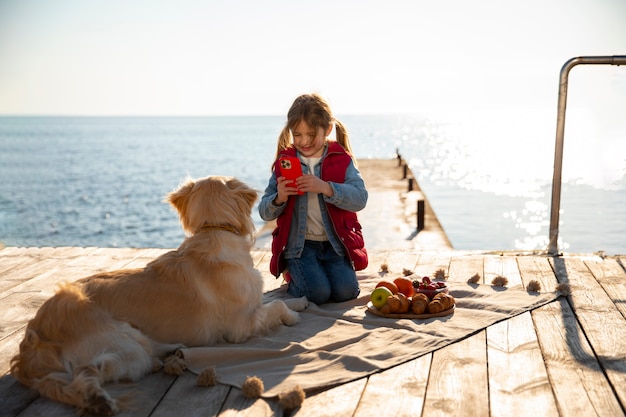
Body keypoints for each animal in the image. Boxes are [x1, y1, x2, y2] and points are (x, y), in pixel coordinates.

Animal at [9, 175, 308, 412]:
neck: (214, 231)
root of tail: (34, 336)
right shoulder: (240, 326)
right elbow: (275, 306)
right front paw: (291, 316)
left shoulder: (253, 301)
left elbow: (273, 298)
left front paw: (301, 302)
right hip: (126, 343)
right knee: (89, 372)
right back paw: (98, 399)